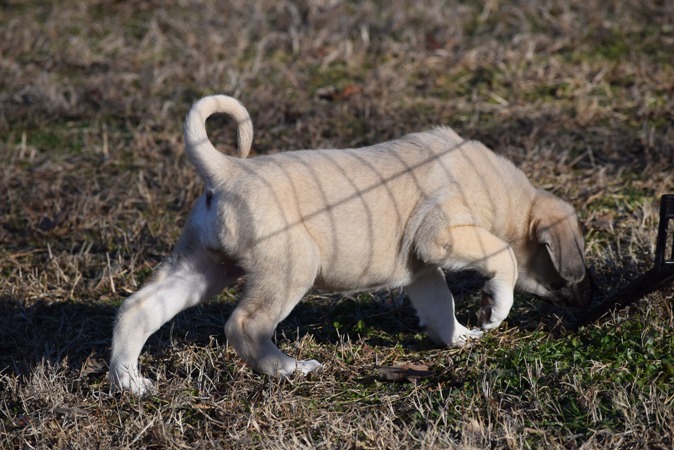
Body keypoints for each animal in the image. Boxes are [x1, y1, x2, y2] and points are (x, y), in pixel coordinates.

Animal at [109, 95, 594, 394]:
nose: (585, 303)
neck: (502, 193)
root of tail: (228, 170)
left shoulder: (422, 268)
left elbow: (441, 306)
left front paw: (459, 338)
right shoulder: (442, 236)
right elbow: (504, 257)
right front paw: (495, 310)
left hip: (202, 268)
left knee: (138, 309)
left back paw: (130, 383)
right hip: (289, 270)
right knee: (245, 325)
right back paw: (290, 369)